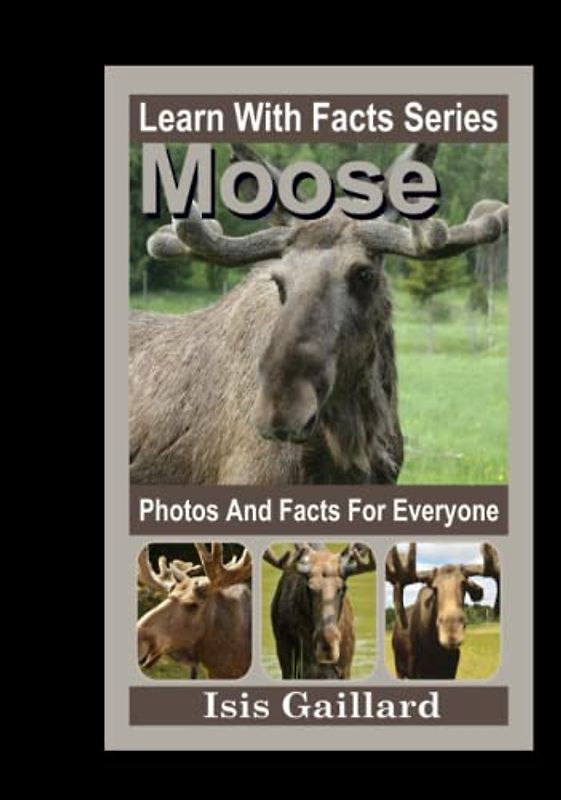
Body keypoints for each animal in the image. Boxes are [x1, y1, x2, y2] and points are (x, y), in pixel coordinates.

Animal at [385, 543, 500, 679]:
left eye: (464, 584)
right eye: (434, 588)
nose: (451, 632)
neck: (435, 652)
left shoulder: (451, 670)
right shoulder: (414, 671)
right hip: (399, 668)